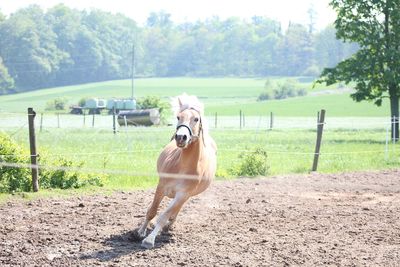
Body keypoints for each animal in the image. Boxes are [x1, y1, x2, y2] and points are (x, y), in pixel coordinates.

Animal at [136, 94, 217, 249]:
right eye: (179, 117)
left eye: (196, 119)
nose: (180, 137)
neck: (182, 167)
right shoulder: (161, 187)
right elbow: (152, 212)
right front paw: (141, 232)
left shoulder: (182, 194)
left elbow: (164, 215)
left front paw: (150, 240)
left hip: (186, 196)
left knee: (175, 211)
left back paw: (168, 225)